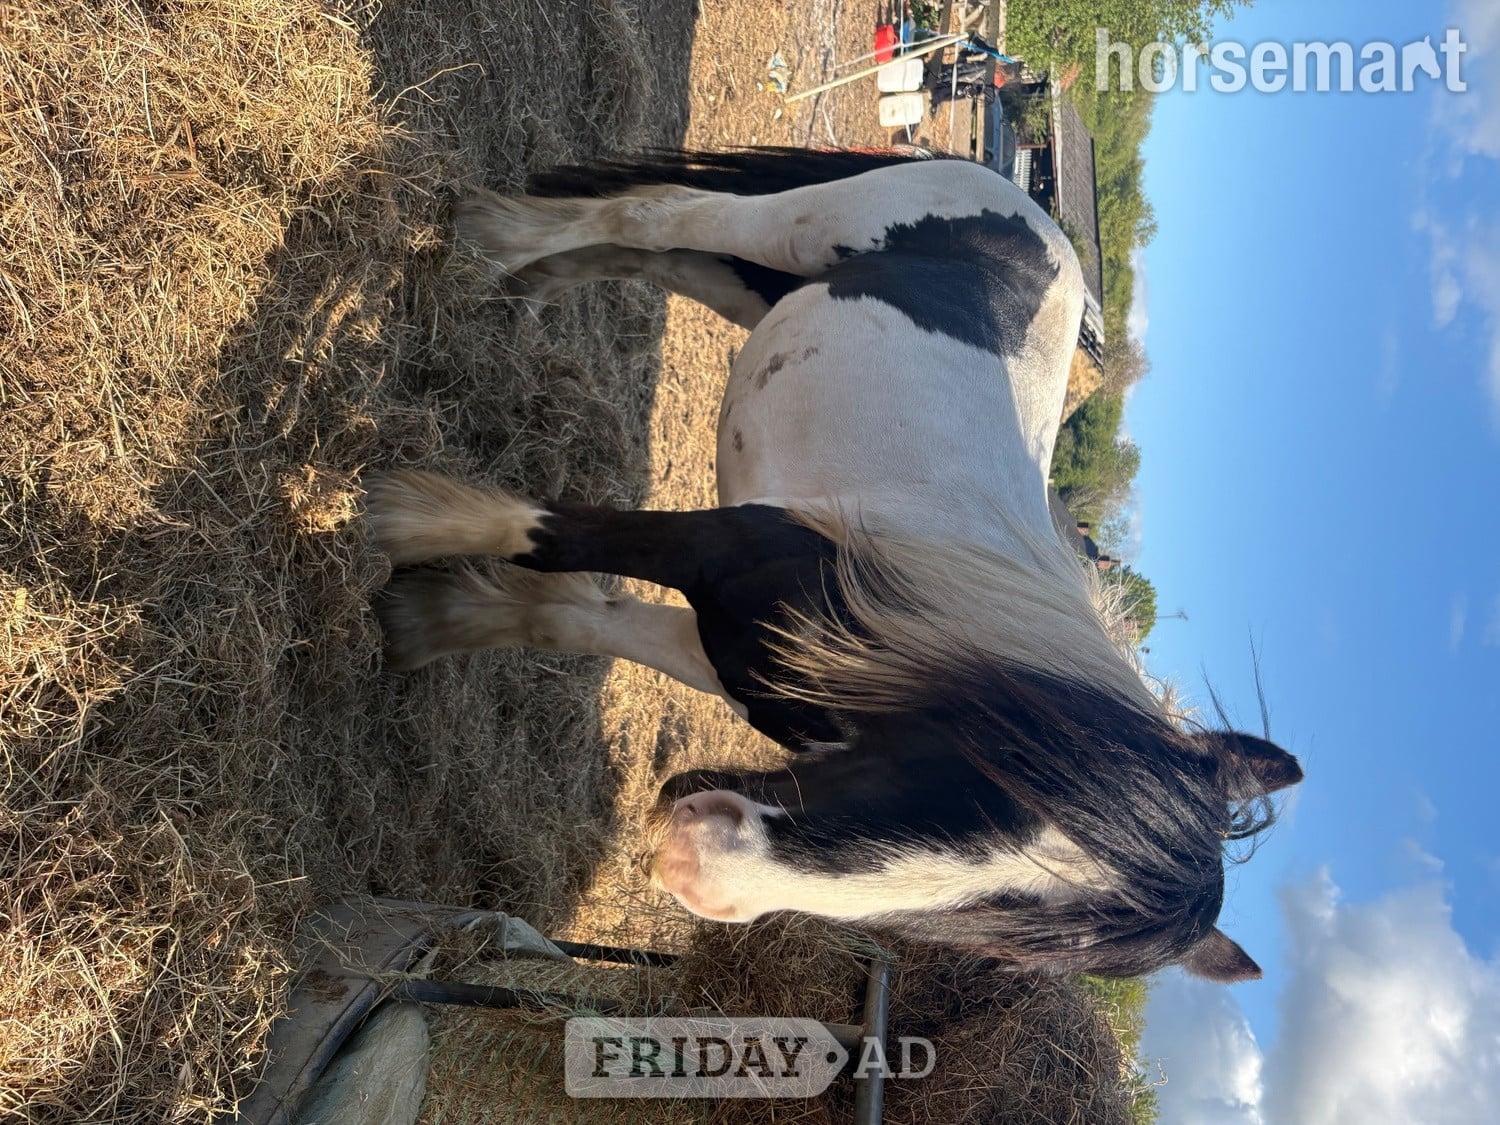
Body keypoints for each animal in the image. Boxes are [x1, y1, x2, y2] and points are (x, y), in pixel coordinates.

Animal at [363, 149, 1302, 981]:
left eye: (1000, 932)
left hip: (765, 291)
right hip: (797, 231)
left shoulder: (727, 653)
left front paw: (427, 623)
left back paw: (533, 278)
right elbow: (554, 537)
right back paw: (497, 240)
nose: (698, 871)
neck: (934, 624)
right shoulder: (721, 546)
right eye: (987, 788)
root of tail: (1042, 223)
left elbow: (573, 616)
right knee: (663, 213)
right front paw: (389, 516)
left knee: (666, 255)